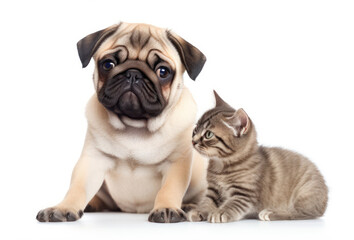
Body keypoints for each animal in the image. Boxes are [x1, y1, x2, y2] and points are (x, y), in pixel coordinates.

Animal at [36, 22, 207, 223]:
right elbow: (77, 187)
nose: (133, 74)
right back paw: (92, 204)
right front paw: (63, 208)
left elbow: (169, 188)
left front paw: (166, 208)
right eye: (108, 64)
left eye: (163, 72)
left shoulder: (176, 163)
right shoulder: (93, 160)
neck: (135, 126)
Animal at [188, 91, 330, 222]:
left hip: (306, 193)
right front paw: (199, 210)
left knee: (300, 213)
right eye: (195, 130)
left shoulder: (244, 194)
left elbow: (231, 204)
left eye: (208, 134)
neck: (221, 166)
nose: (193, 141)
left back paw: (271, 213)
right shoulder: (213, 190)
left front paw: (219, 212)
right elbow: (207, 202)